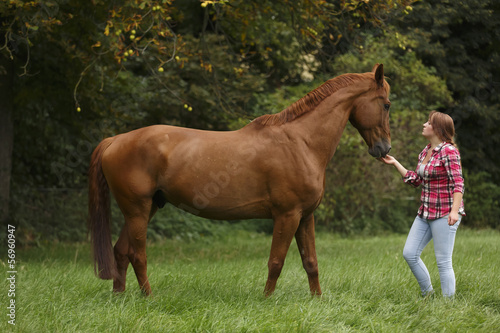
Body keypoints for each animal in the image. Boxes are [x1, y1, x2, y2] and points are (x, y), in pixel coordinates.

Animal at [88, 63, 392, 296]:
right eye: (387, 105)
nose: (384, 149)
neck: (300, 142)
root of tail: (115, 140)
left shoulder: (306, 216)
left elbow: (311, 262)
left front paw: (316, 300)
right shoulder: (287, 215)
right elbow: (276, 262)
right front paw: (267, 300)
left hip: (146, 208)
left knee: (120, 251)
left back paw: (120, 296)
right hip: (137, 210)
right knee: (137, 255)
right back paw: (148, 297)